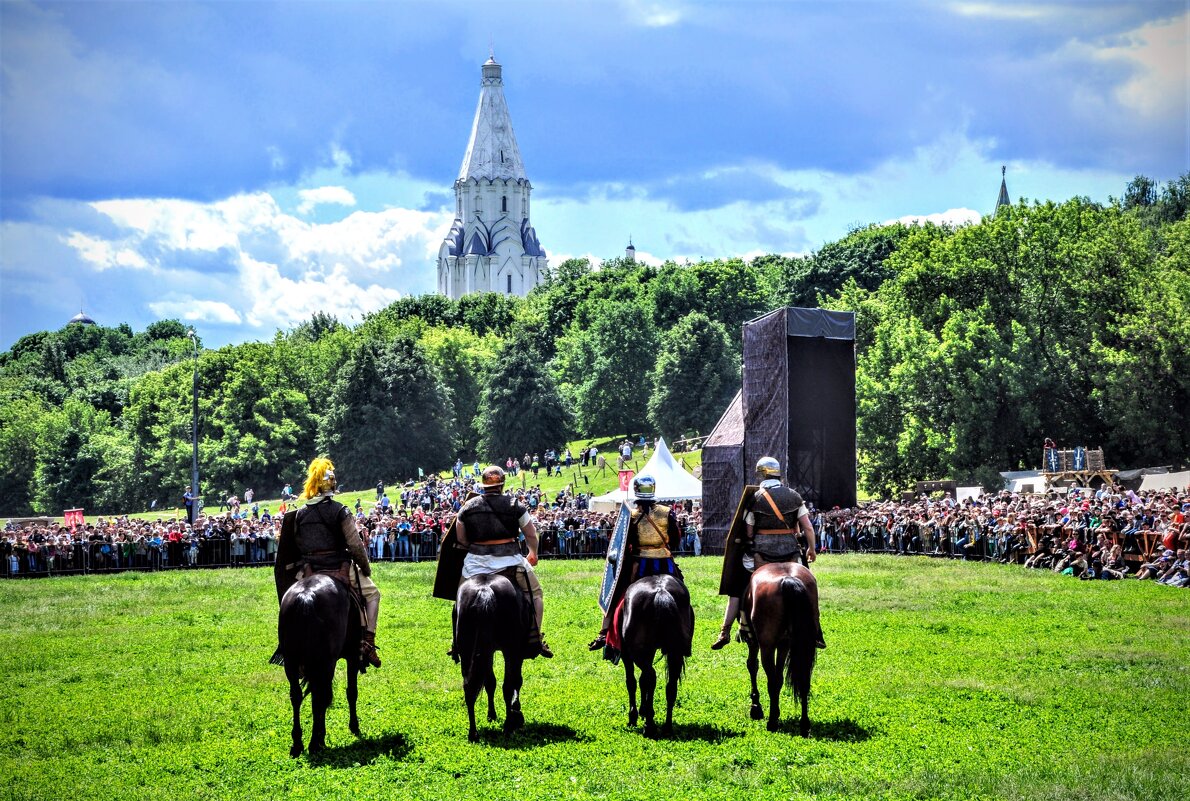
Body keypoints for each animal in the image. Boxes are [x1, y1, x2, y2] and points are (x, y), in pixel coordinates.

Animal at [278, 571, 361, 752]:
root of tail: (306, 596)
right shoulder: (352, 656)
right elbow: (351, 692)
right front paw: (354, 726)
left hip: (291, 662)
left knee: (296, 695)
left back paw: (298, 742)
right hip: (325, 663)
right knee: (320, 697)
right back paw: (315, 742)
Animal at [454, 571, 530, 742]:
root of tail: (485, 591)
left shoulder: (486, 651)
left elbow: (490, 682)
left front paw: (492, 715)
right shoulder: (516, 652)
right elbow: (516, 680)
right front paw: (516, 711)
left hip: (467, 649)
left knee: (469, 687)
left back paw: (473, 733)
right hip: (510, 648)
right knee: (508, 685)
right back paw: (508, 727)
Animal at [618, 576, 694, 737]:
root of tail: (661, 592)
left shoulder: (626, 654)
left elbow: (632, 682)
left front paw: (633, 716)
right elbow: (642, 681)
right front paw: (642, 710)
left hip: (637, 652)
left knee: (651, 677)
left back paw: (649, 725)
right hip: (675, 652)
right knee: (670, 685)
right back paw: (667, 727)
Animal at [742, 559, 818, 733]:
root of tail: (788, 580)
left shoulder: (755, 642)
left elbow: (752, 665)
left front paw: (756, 707)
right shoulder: (784, 644)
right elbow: (780, 677)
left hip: (767, 646)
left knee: (770, 680)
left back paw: (771, 722)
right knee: (803, 679)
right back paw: (804, 723)